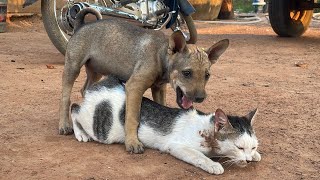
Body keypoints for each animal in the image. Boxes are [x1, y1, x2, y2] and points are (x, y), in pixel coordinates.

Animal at [70, 76, 260, 174]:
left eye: (253, 147)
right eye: (239, 147)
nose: (248, 160)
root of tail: (105, 82)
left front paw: (256, 156)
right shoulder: (176, 146)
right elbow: (199, 156)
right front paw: (213, 165)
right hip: (102, 129)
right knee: (74, 108)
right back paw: (80, 134)